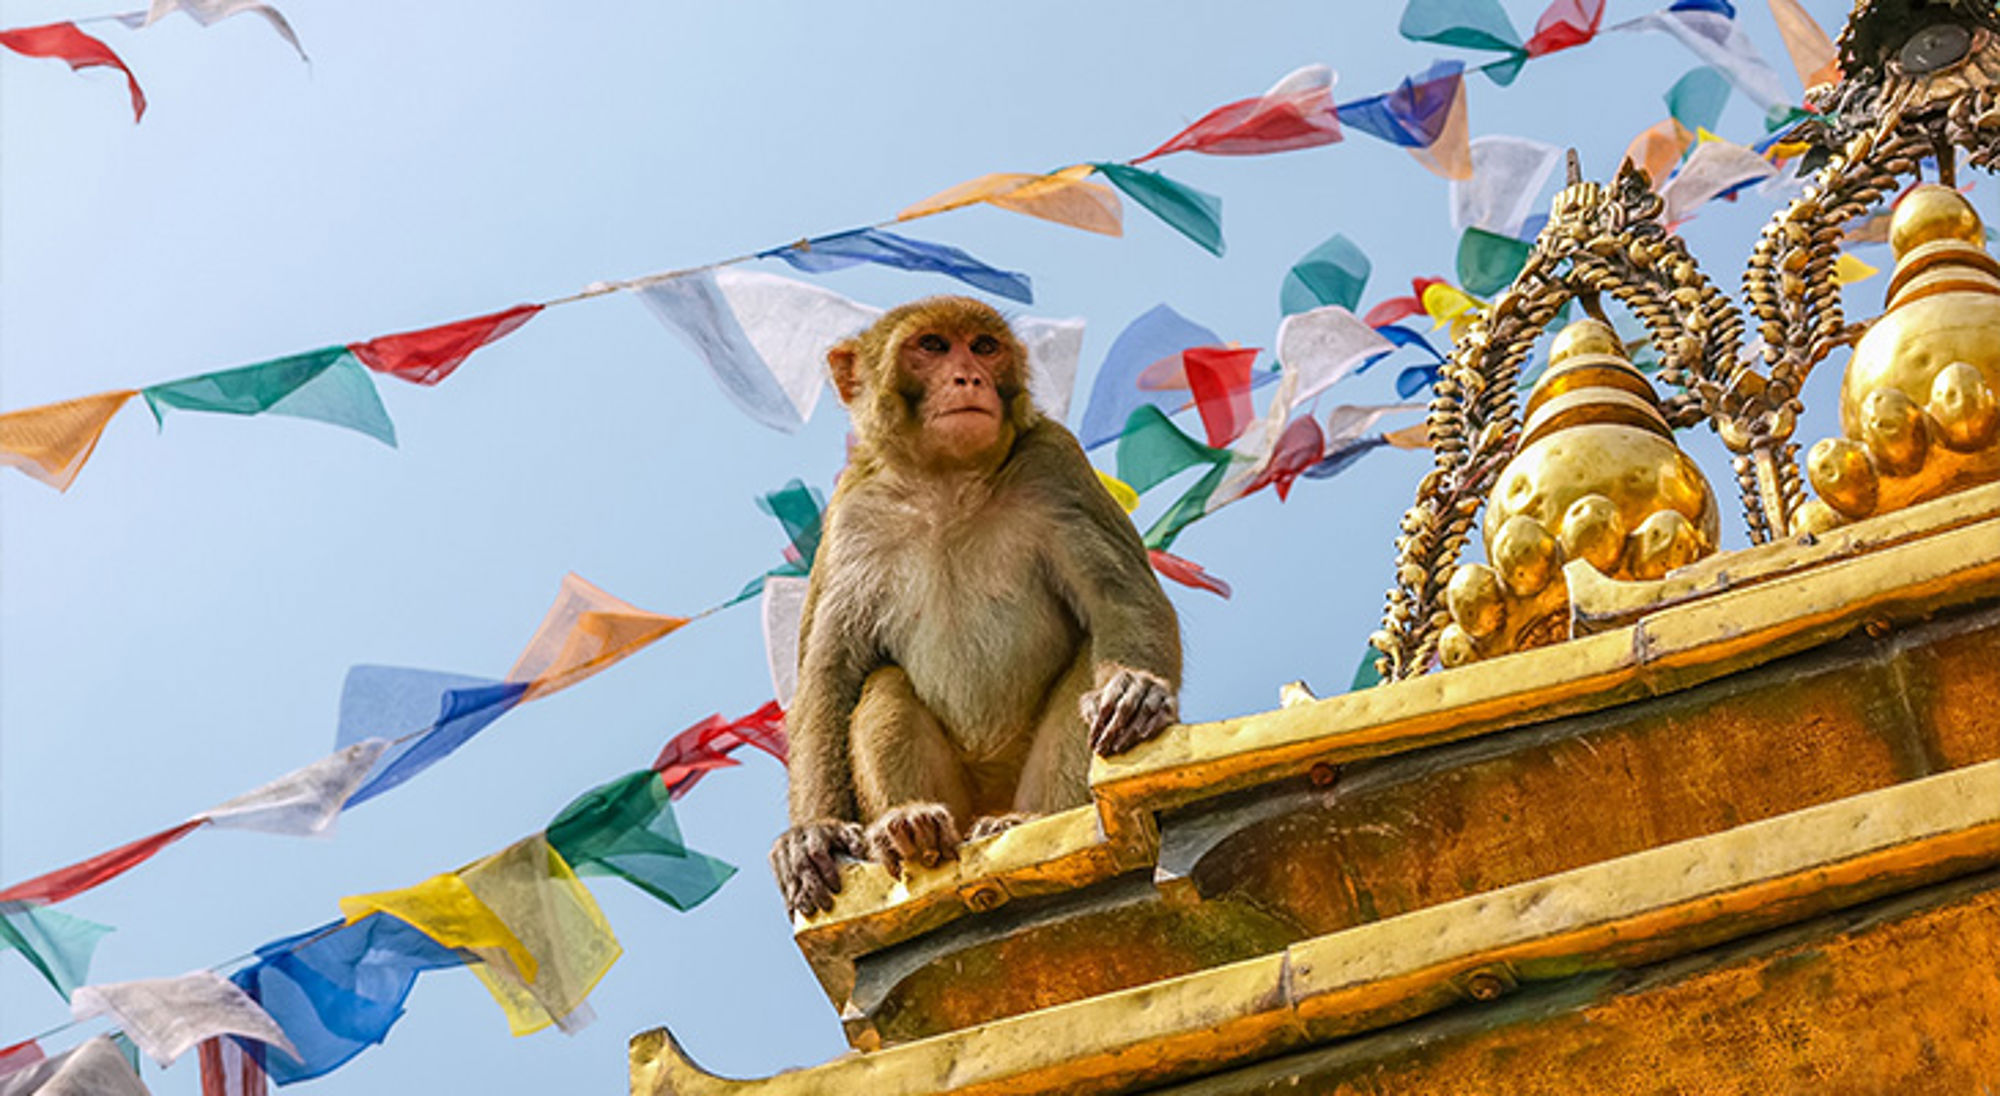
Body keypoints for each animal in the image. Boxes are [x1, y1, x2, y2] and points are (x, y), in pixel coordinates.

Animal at [769, 297, 1182, 918]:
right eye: (933, 346)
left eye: (984, 347)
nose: (969, 377)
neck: (946, 481)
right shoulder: (851, 516)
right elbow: (829, 674)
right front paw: (812, 833)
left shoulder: (1055, 463)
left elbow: (1120, 597)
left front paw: (1136, 692)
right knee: (883, 685)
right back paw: (912, 828)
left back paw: (1019, 821)